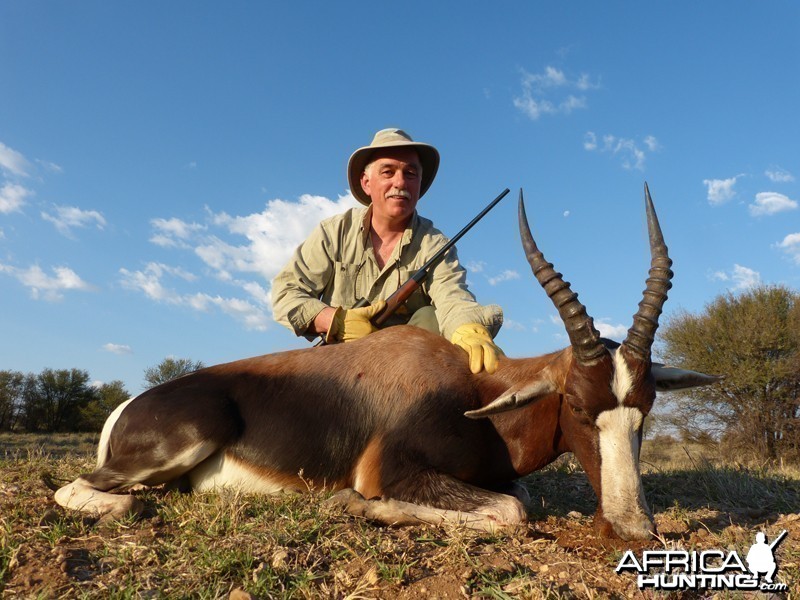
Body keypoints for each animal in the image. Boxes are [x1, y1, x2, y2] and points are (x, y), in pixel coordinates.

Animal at [56, 183, 720, 540]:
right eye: (579, 407)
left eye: (645, 409)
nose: (633, 530)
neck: (469, 391)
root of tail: (126, 407)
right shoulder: (396, 470)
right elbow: (510, 510)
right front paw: (351, 503)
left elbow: (522, 497)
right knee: (88, 492)